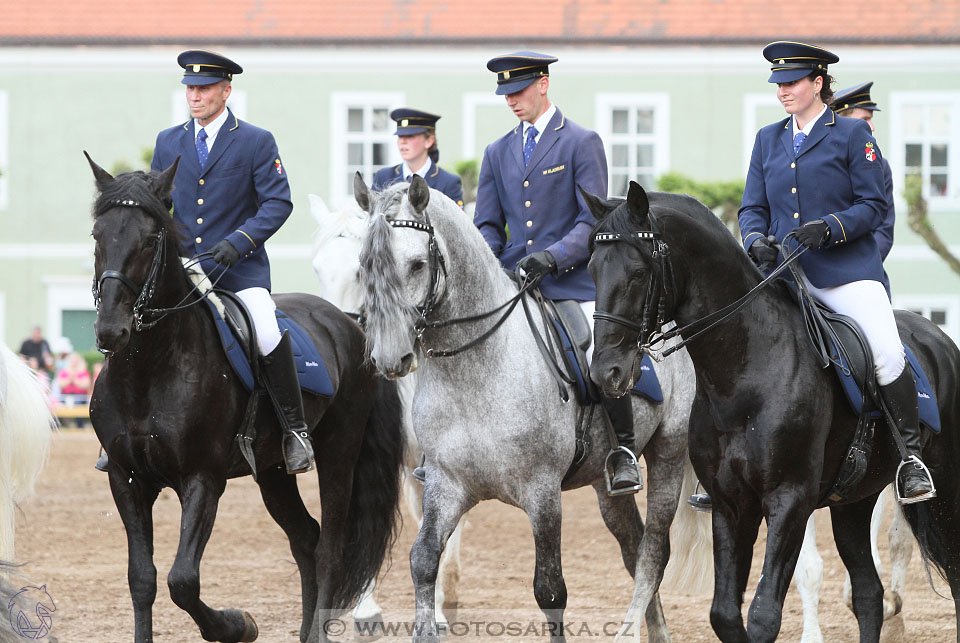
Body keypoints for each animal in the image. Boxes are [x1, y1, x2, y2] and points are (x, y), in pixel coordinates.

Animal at [84, 153, 404, 640]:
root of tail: (349, 323)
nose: (110, 330)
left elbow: (183, 581)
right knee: (305, 538)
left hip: (339, 454)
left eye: (151, 238)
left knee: (329, 547)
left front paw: (237, 626)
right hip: (272, 471)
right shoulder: (126, 478)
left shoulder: (202, 479)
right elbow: (143, 579)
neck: (147, 370)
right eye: (98, 236)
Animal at [356, 174, 708, 640]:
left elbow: (550, 590)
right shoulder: (446, 485)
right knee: (633, 547)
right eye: (364, 265)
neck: (476, 370)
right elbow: (424, 561)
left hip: (669, 451)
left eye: (416, 264)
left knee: (653, 551)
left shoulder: (542, 493)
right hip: (604, 482)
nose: (390, 357)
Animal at [580, 182, 960, 643]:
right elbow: (725, 614)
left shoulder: (789, 500)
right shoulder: (729, 504)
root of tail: (939, 337)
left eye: (637, 272)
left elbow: (763, 614)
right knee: (869, 592)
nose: (606, 373)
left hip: (946, 486)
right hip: (854, 501)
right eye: (592, 269)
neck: (746, 369)